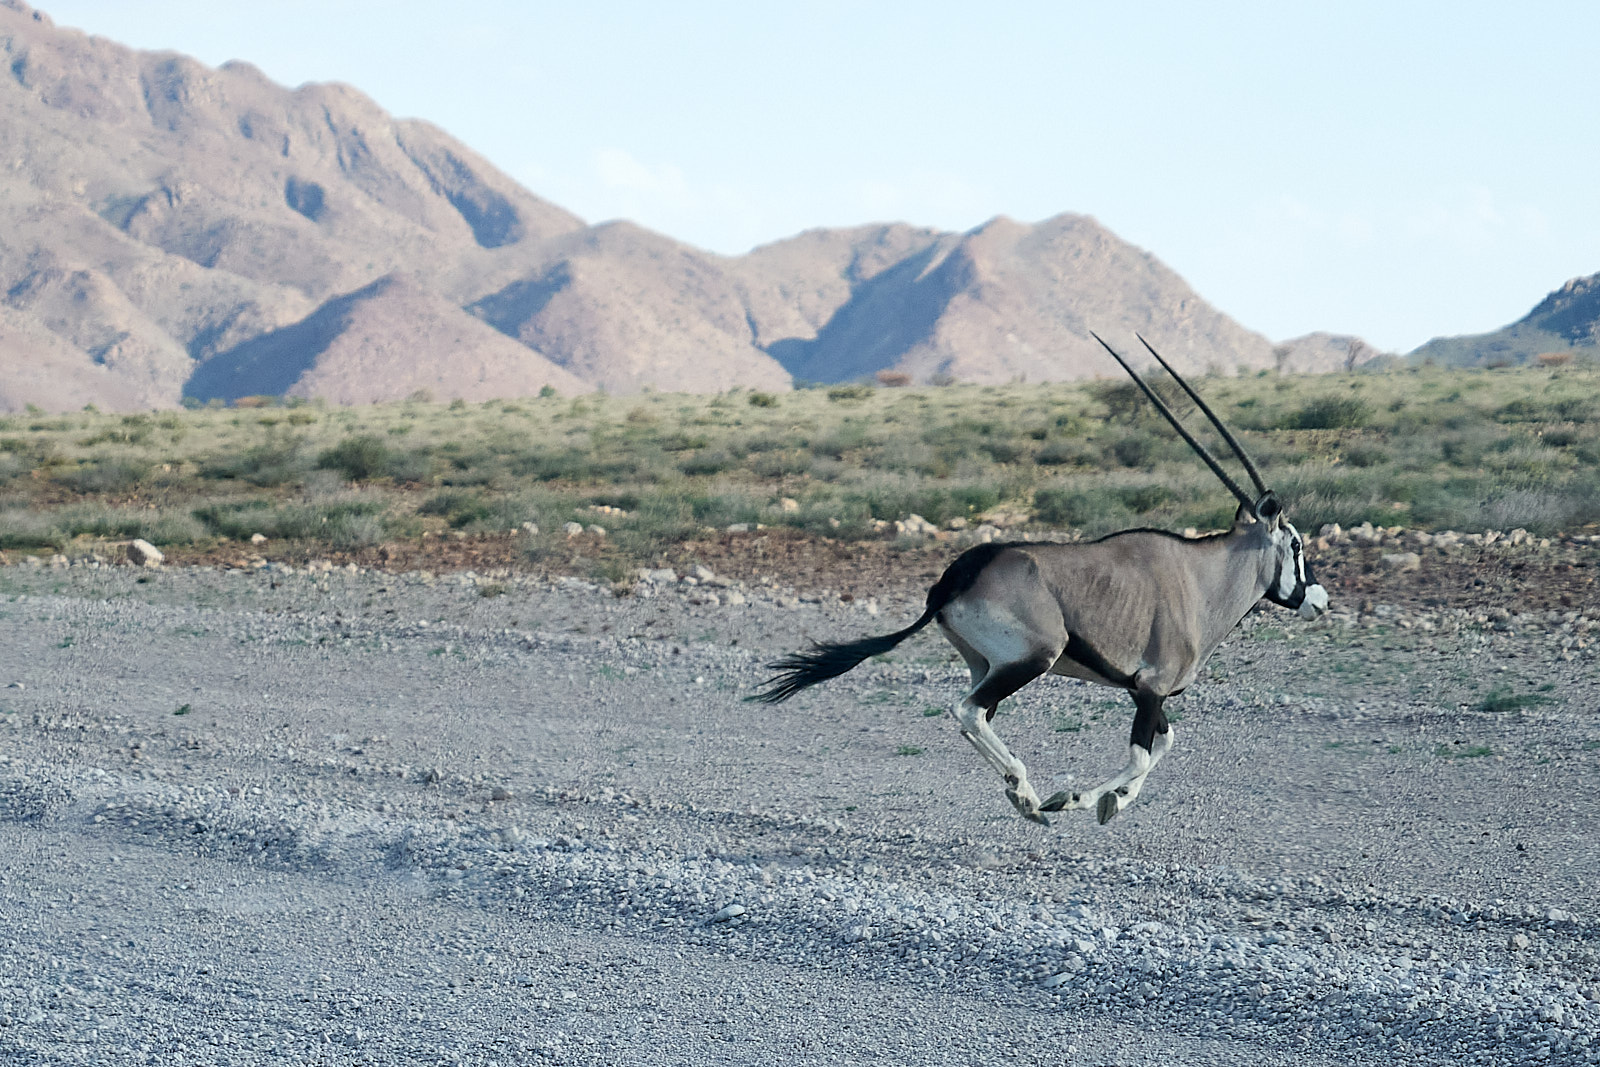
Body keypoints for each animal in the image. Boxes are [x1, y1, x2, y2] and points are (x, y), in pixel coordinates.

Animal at [755, 334, 1331, 825]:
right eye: (1296, 544)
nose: (1319, 600)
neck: (1201, 576)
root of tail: (956, 576)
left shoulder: (1145, 693)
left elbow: (1162, 746)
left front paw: (1107, 802)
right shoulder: (1151, 688)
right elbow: (1142, 755)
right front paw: (1078, 800)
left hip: (987, 663)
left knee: (974, 715)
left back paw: (1021, 793)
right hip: (1033, 656)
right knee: (967, 710)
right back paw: (1027, 796)